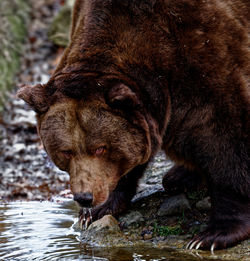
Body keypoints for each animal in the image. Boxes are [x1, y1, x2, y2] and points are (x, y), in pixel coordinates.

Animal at [17, 0, 248, 250]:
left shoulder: (205, 52)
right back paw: (180, 177)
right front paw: (97, 210)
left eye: (100, 148)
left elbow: (225, 138)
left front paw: (213, 235)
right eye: (66, 151)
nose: (84, 197)